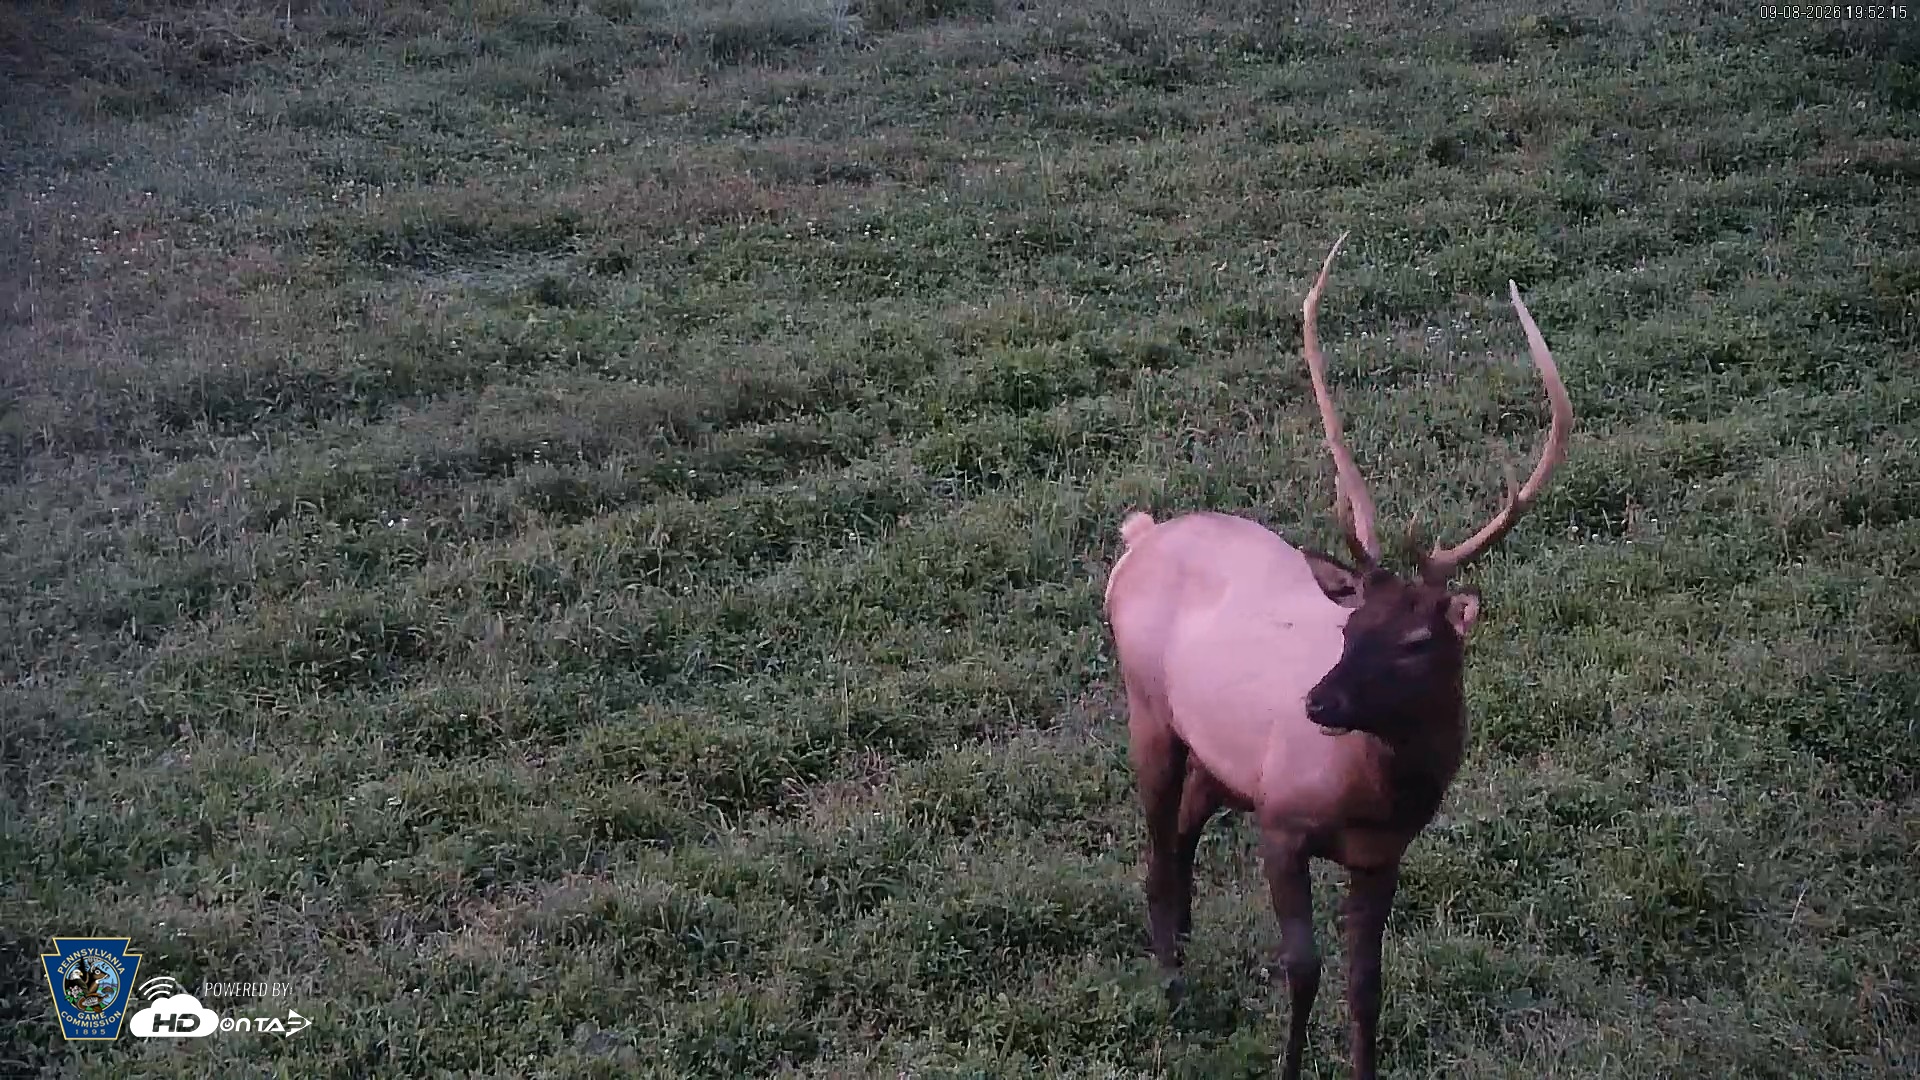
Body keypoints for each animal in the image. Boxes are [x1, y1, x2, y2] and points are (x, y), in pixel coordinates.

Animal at [1101, 232, 1573, 1080]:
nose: (1317, 704)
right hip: (1148, 707)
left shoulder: (1383, 855)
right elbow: (1303, 971)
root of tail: (1138, 537)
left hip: (1222, 762)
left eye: (1417, 641)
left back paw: (1183, 950)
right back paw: (1172, 984)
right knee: (1155, 844)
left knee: (1182, 830)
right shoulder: (1282, 823)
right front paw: (1286, 1065)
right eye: (1351, 630)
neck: (1375, 793)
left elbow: (1365, 986)